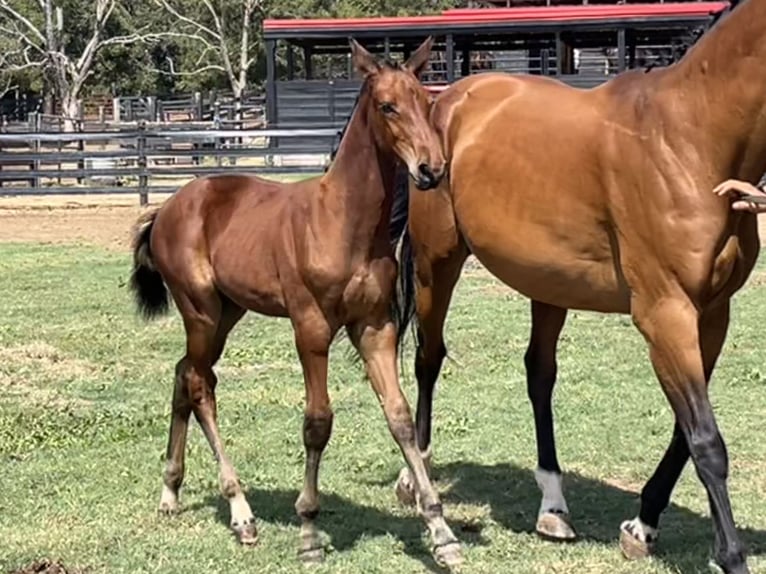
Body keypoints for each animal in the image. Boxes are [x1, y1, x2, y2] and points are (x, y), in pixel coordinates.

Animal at [129, 38, 464, 568]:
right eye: (387, 106)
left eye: (426, 104)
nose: (431, 170)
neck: (342, 222)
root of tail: (167, 208)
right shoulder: (311, 328)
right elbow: (317, 423)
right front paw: (308, 531)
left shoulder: (375, 327)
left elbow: (400, 417)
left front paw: (440, 529)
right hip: (199, 310)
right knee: (200, 385)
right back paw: (240, 512)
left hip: (226, 312)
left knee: (186, 374)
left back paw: (171, 492)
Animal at [392, 2, 764, 572]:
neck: (690, 140)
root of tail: (445, 101)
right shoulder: (666, 315)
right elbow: (705, 441)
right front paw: (731, 556)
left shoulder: (712, 316)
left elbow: (685, 433)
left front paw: (642, 525)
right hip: (438, 264)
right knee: (429, 359)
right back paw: (416, 479)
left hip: (548, 284)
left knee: (538, 374)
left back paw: (553, 506)